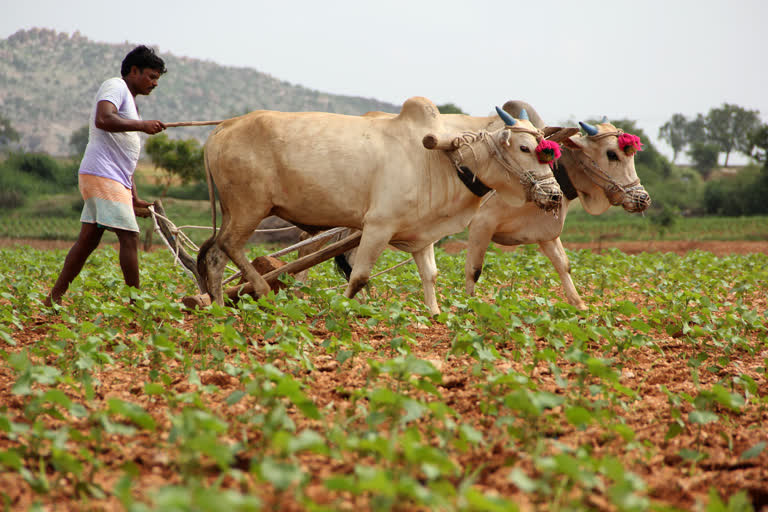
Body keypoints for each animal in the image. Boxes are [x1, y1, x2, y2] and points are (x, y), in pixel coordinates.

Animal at [195, 95, 560, 312]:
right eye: (525, 148)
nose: (555, 194)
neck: (443, 160)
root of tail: (223, 128)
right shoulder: (377, 226)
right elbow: (359, 277)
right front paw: (341, 309)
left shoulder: (422, 236)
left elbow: (430, 275)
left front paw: (436, 316)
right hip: (249, 208)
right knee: (229, 246)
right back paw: (263, 293)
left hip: (236, 211)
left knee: (214, 255)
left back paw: (216, 308)